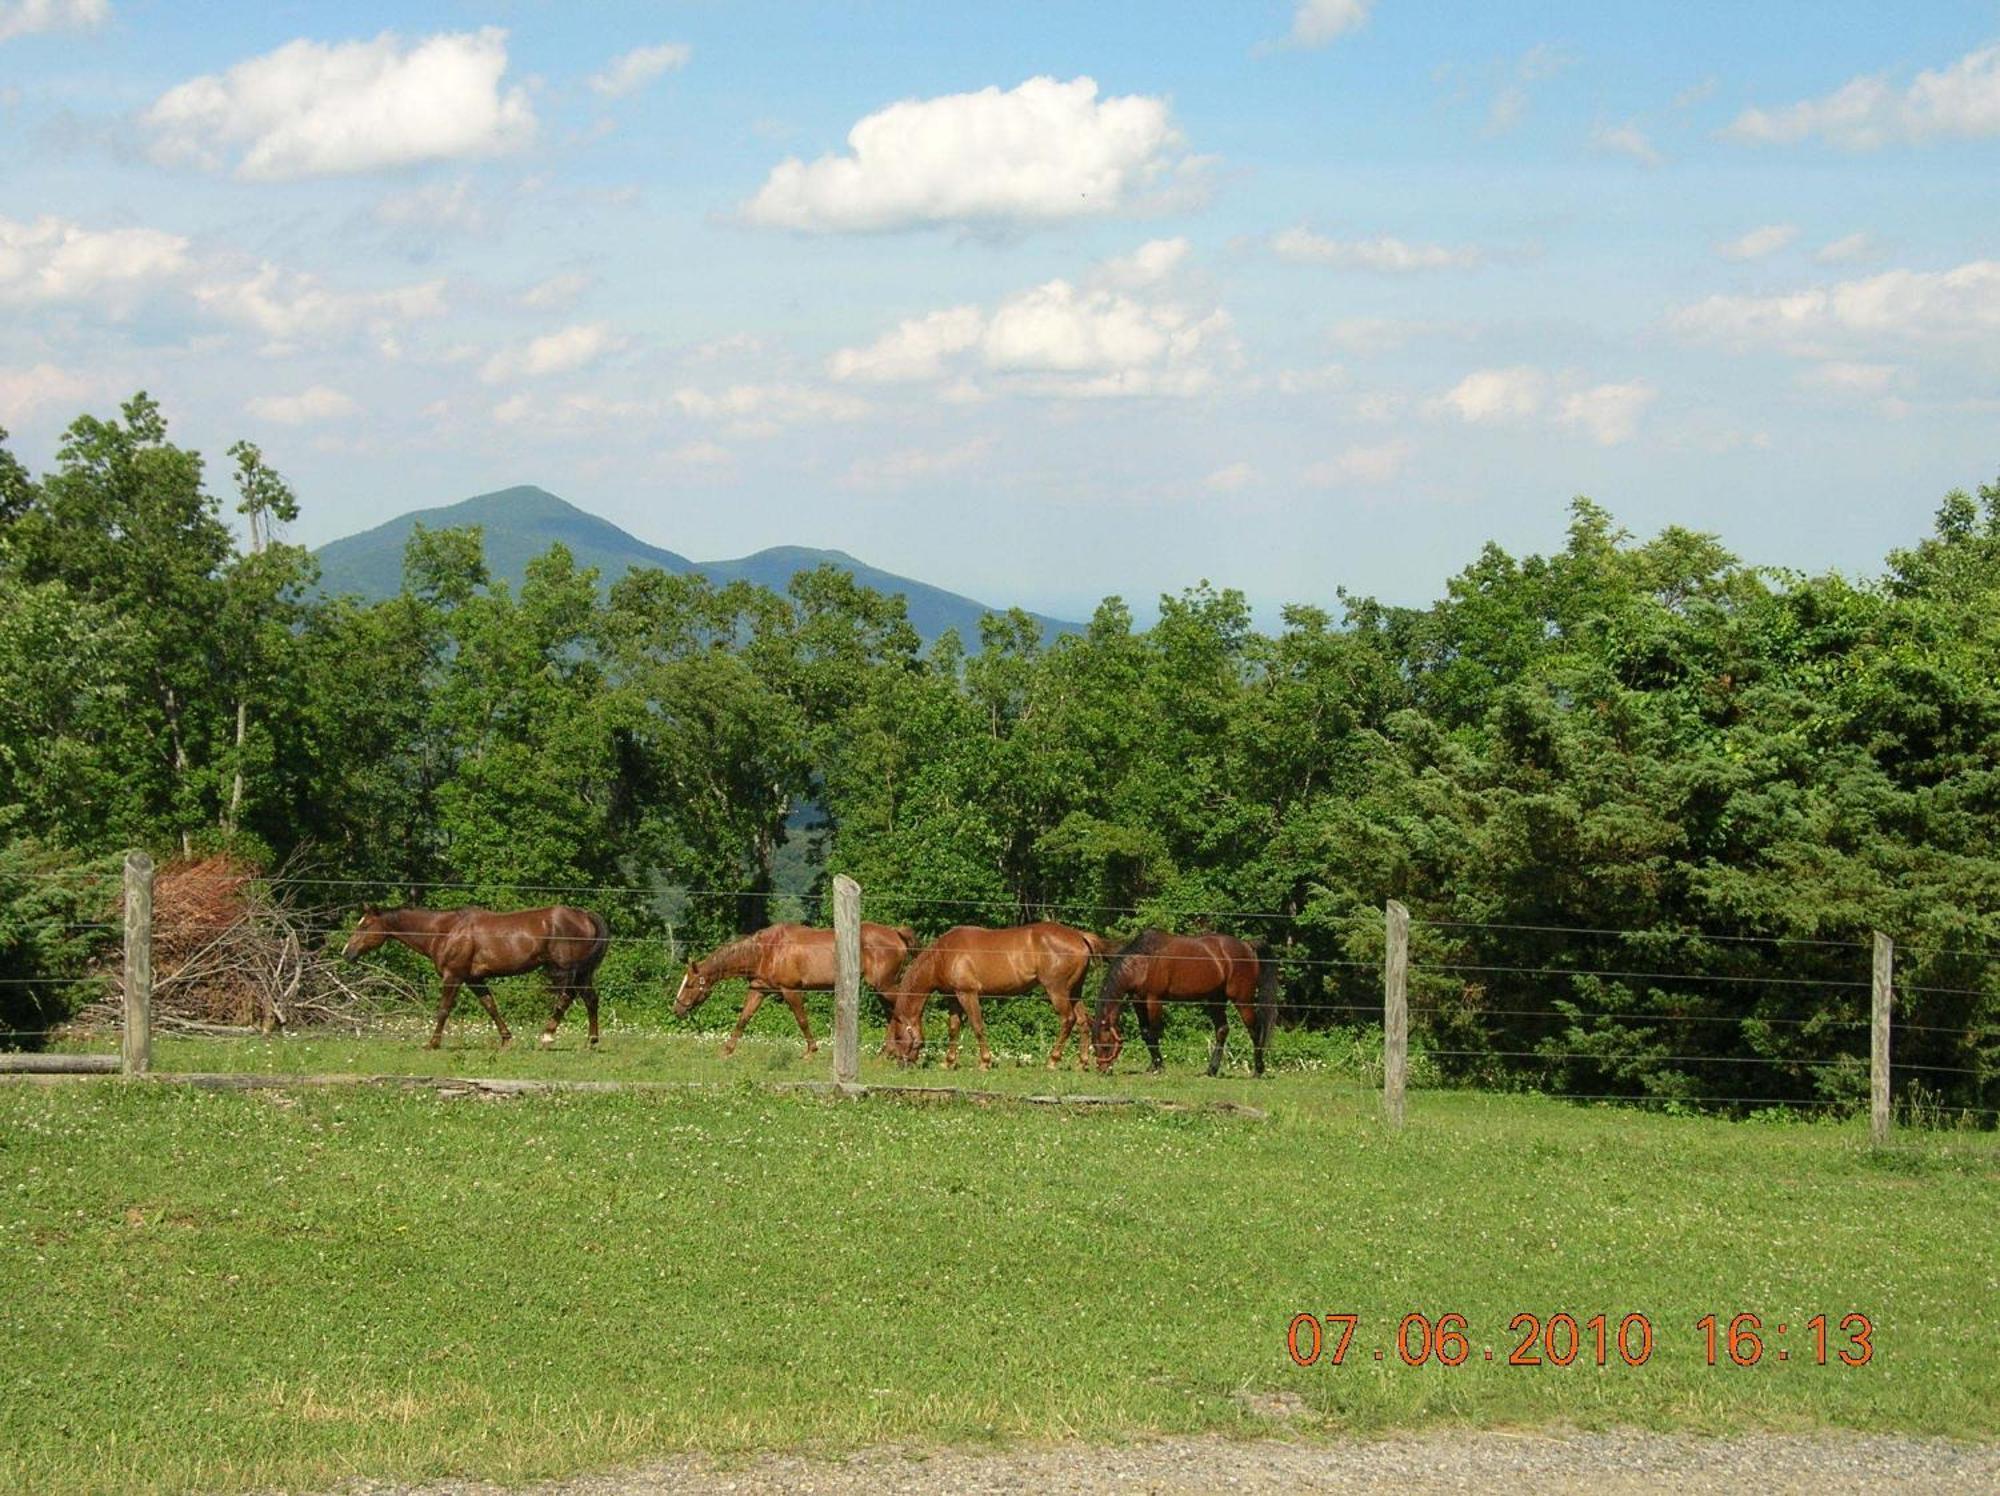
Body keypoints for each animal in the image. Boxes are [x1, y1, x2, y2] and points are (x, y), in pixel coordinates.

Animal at [342, 904, 608, 1048]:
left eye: (364, 926)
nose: (347, 953)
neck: (445, 931)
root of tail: (584, 915)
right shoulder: (474, 980)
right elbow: (491, 1007)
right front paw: (506, 1039)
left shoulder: (453, 976)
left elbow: (443, 1009)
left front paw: (432, 1043)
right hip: (583, 973)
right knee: (591, 1000)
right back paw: (591, 1041)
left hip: (566, 970)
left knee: (567, 997)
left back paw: (547, 1035)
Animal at [672, 916, 920, 1056]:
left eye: (690, 984)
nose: (677, 1009)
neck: (766, 950)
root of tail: (896, 933)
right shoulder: (759, 990)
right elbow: (743, 1018)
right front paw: (727, 1050)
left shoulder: (790, 990)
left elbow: (802, 1020)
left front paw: (811, 1051)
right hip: (880, 988)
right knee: (893, 1013)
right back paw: (888, 1051)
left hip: (885, 985)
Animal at [888, 916, 1112, 1072]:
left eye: (898, 1036)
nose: (901, 1063)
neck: (942, 955)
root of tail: (1080, 936)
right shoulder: (954, 998)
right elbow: (953, 1028)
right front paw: (949, 1062)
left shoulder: (967, 994)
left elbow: (977, 1026)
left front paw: (985, 1062)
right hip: (1074, 992)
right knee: (1083, 1022)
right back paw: (1082, 1063)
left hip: (1057, 990)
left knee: (1068, 1020)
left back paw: (1052, 1061)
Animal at [1088, 924, 1272, 1072]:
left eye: (1105, 1044)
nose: (1103, 1070)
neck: (1144, 961)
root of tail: (1247, 945)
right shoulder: (1138, 1002)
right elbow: (1146, 1033)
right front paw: (1153, 1065)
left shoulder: (1154, 1000)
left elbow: (1153, 1033)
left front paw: (1159, 1066)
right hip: (1215, 999)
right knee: (1222, 1030)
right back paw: (1212, 1070)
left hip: (1242, 1000)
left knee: (1254, 1030)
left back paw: (1258, 1070)